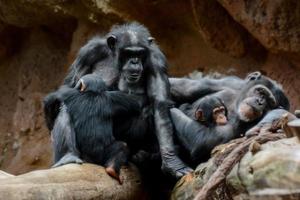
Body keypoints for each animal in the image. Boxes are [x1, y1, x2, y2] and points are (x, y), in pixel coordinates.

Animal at [43, 22, 191, 179]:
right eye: (128, 53)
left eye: (139, 53)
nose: (134, 61)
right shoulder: (88, 52)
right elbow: (70, 84)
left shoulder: (157, 61)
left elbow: (159, 105)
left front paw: (172, 163)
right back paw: (68, 157)